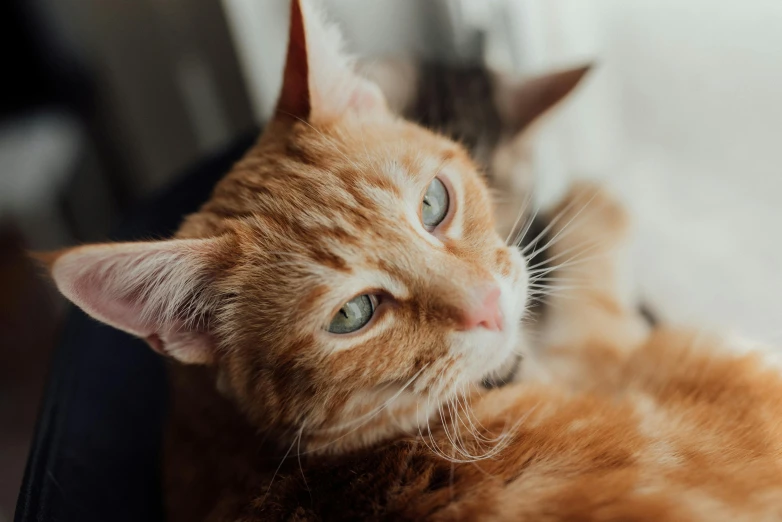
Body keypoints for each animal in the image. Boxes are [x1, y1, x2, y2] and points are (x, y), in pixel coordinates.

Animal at [44, 2, 782, 516]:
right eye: (353, 315)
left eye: (433, 203)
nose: (488, 306)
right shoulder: (629, 360)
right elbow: (601, 296)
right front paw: (595, 205)